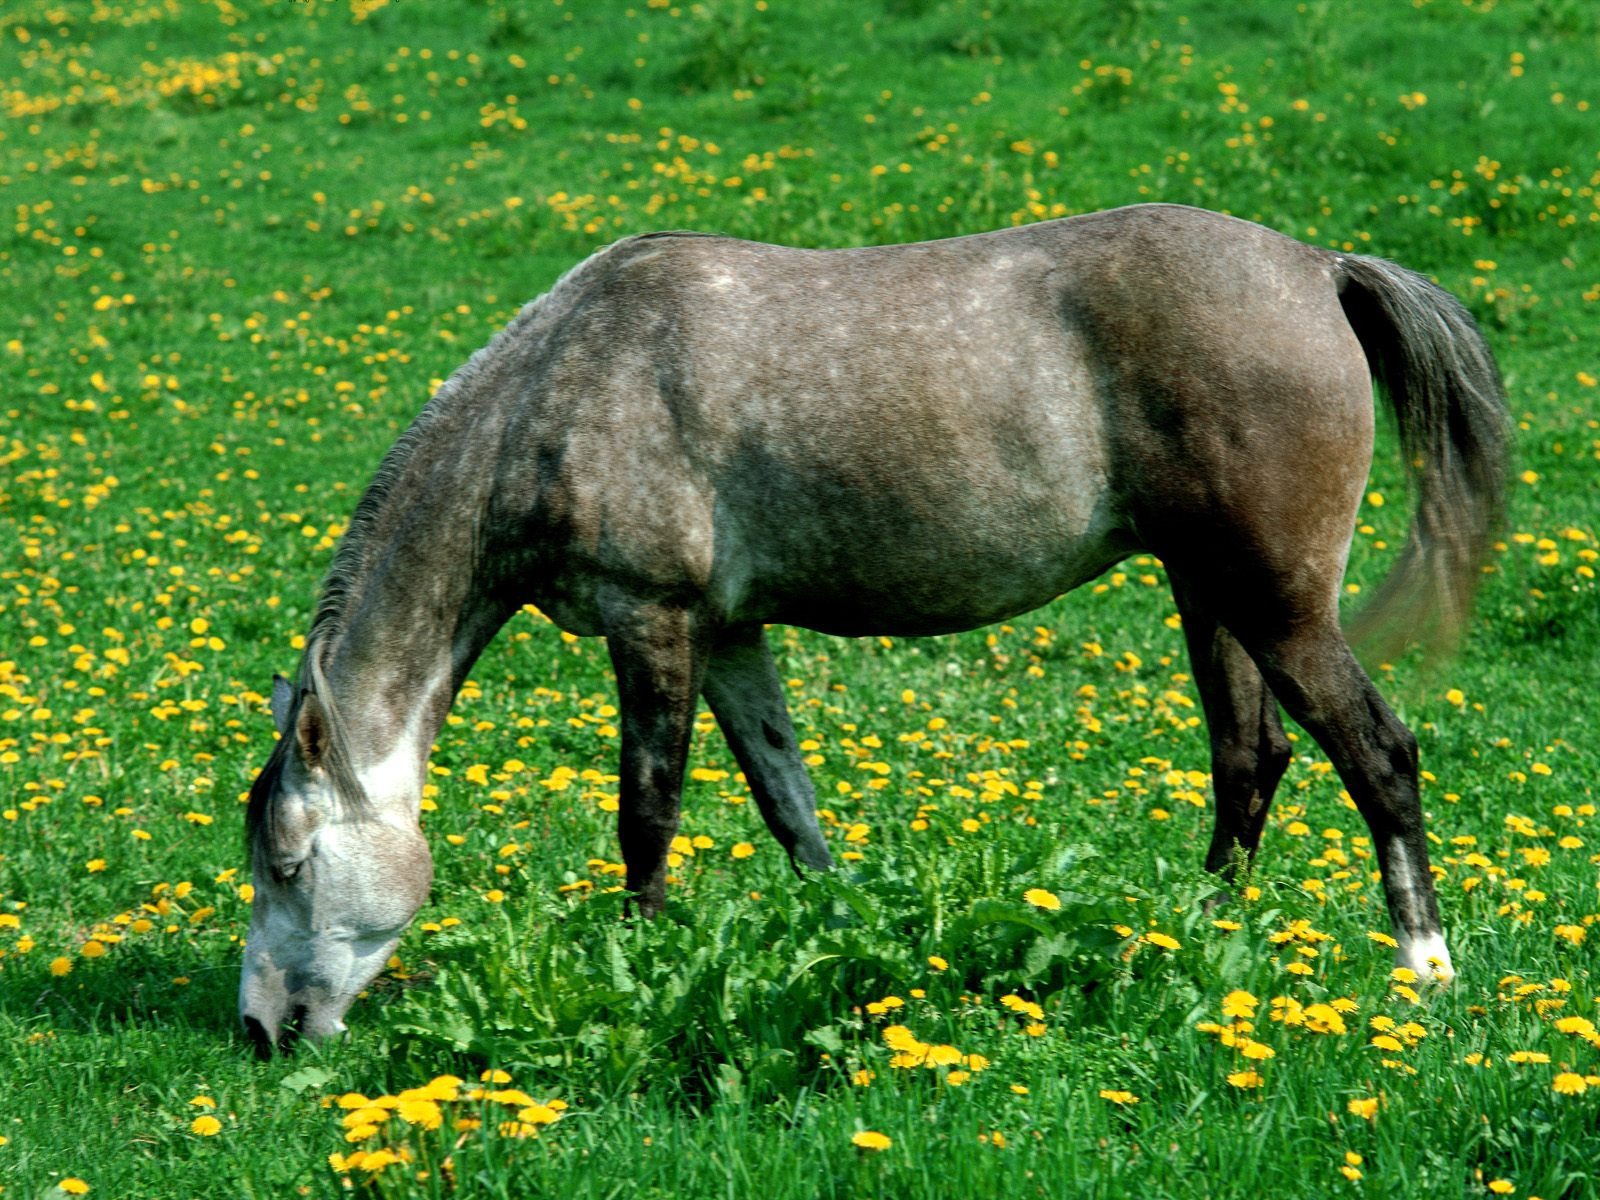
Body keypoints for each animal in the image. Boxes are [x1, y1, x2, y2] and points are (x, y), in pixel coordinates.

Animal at [236, 209, 1510, 1062]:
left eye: (290, 862)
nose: (260, 1031)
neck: (564, 388)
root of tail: (1321, 270)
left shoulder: (652, 624)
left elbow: (646, 813)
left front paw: (640, 968)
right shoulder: (731, 636)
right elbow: (788, 807)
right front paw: (851, 940)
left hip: (1277, 605)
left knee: (1376, 755)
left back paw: (1425, 967)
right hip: (1213, 597)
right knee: (1251, 762)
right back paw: (1200, 946)